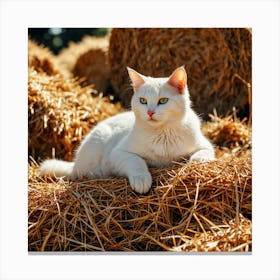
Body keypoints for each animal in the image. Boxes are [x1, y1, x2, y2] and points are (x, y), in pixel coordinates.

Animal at [40, 66, 214, 192]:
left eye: (163, 101)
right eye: (143, 101)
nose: (150, 112)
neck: (162, 133)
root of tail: (75, 164)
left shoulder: (206, 145)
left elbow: (203, 153)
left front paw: (196, 162)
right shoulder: (117, 154)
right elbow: (136, 160)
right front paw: (141, 179)